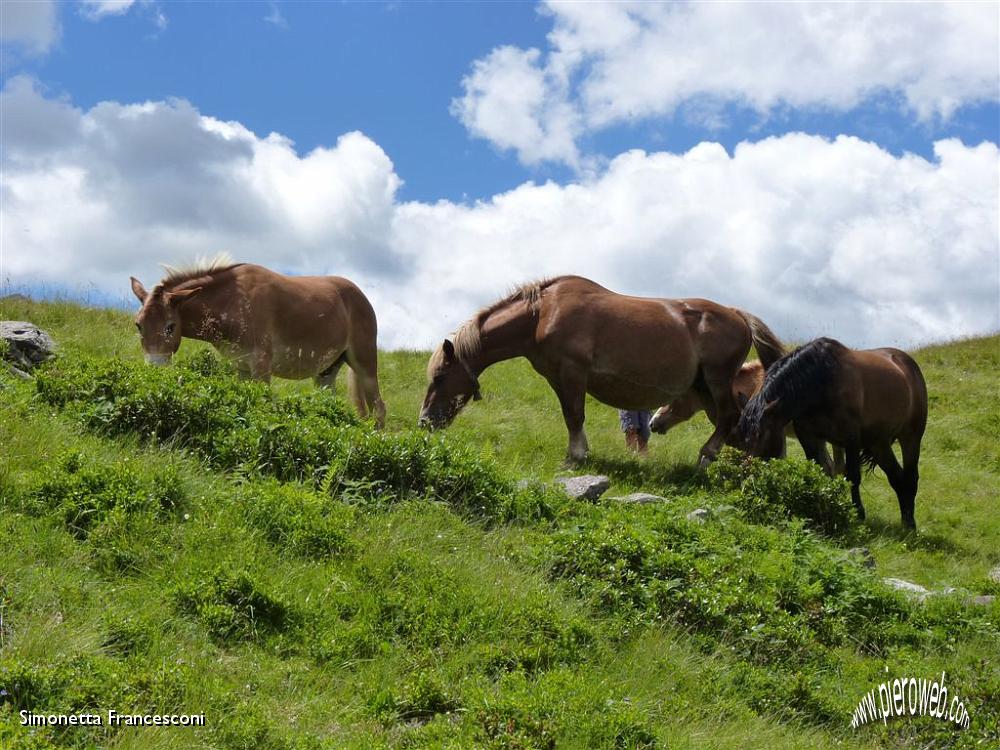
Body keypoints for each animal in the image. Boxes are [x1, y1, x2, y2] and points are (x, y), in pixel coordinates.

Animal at [129, 256, 386, 426]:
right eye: (138, 325)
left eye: (170, 327)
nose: (154, 372)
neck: (233, 300)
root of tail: (360, 295)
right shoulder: (241, 366)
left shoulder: (261, 364)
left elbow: (262, 403)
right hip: (326, 372)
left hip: (364, 363)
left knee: (379, 408)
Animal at [418, 274, 784, 468]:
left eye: (439, 377)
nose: (424, 421)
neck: (543, 314)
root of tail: (738, 313)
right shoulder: (557, 377)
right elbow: (571, 415)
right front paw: (578, 452)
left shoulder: (573, 371)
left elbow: (575, 415)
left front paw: (574, 457)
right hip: (704, 387)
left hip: (717, 380)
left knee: (729, 417)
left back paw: (707, 458)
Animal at [736, 338, 928, 532]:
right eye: (742, 435)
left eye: (761, 435)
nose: (746, 481)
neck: (822, 381)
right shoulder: (809, 437)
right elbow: (819, 471)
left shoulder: (851, 439)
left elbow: (852, 476)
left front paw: (857, 514)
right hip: (878, 443)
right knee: (897, 477)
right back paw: (906, 522)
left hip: (910, 437)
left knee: (910, 477)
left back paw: (910, 524)